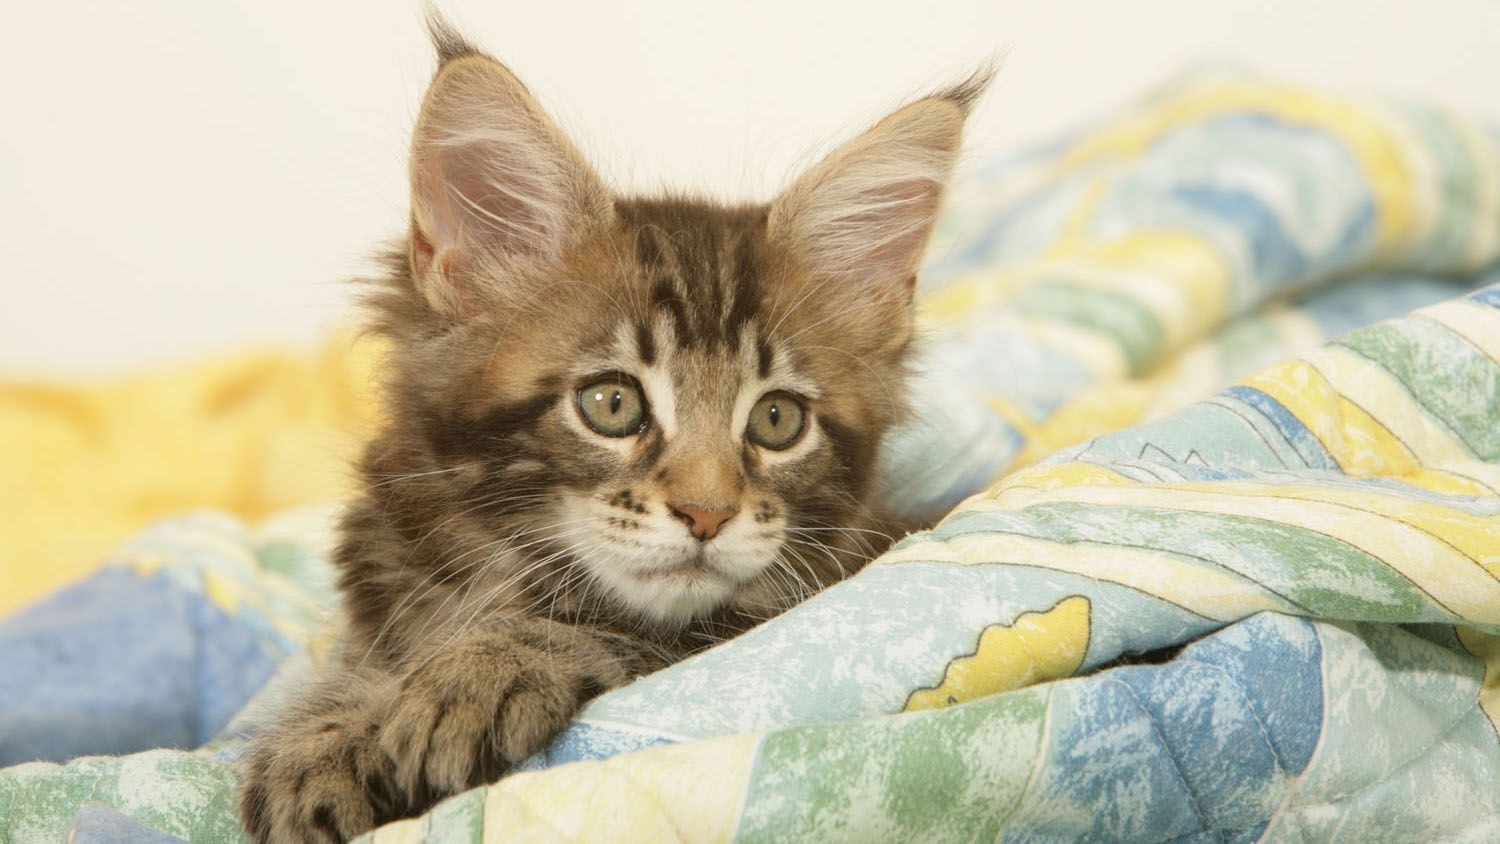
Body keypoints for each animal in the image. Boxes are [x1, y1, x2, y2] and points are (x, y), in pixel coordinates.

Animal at [235, 14, 984, 844]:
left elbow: (634, 633)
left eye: (777, 419)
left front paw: (479, 669)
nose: (707, 515)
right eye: (612, 405)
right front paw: (327, 734)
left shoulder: (778, 620)